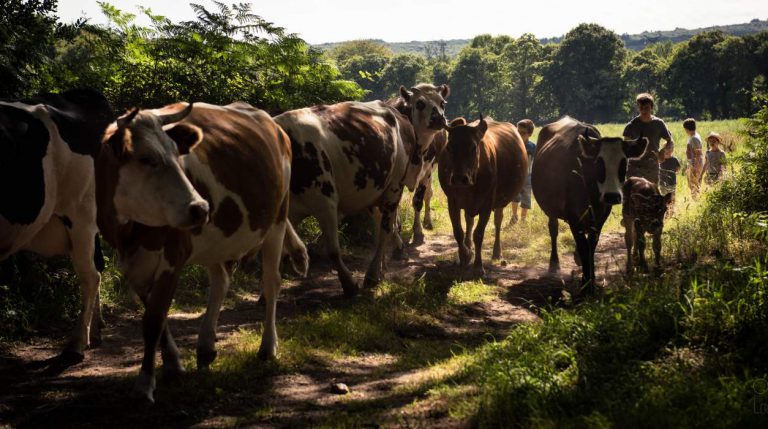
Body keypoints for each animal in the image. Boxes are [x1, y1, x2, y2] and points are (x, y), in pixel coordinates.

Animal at [96, 102, 308, 402]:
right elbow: (156, 316)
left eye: (177, 154)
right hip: (217, 242)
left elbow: (153, 320)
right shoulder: (132, 264)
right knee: (220, 280)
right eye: (145, 158)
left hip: (277, 218)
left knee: (271, 281)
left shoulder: (173, 257)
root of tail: (273, 124)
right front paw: (173, 363)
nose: (200, 208)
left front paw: (145, 383)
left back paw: (268, 347)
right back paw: (206, 347)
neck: (130, 230)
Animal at [438, 116, 527, 277]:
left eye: (473, 147)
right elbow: (458, 232)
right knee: (469, 221)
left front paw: (478, 267)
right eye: (449, 147)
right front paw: (465, 255)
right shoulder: (452, 202)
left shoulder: (487, 204)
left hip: (499, 202)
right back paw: (469, 247)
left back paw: (497, 253)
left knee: (498, 222)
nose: (459, 179)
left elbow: (479, 234)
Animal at [532, 116, 648, 294]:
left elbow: (591, 245)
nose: (612, 196)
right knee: (553, 230)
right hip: (551, 210)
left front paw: (591, 280)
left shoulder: (600, 217)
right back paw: (554, 264)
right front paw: (585, 283)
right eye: (599, 163)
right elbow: (583, 245)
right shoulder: (574, 217)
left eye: (624, 163)